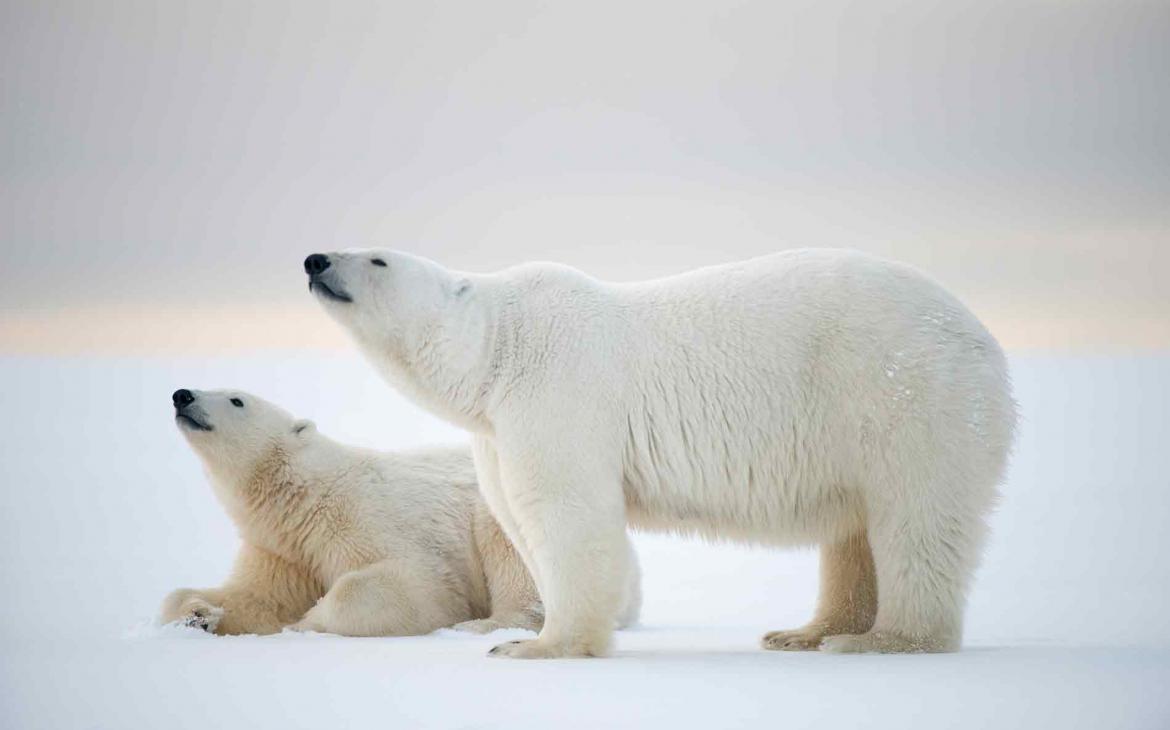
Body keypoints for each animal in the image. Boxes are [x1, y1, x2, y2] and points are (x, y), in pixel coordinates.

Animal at [157, 388, 641, 636]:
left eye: (237, 400)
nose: (183, 394)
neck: (305, 498)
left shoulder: (363, 516)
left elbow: (412, 585)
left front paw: (308, 621)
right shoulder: (283, 550)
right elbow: (255, 597)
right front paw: (197, 615)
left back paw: (482, 625)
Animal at [304, 248, 1015, 659]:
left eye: (378, 260)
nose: (313, 259)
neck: (503, 348)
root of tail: (983, 336)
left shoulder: (558, 391)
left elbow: (566, 512)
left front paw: (539, 647)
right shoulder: (497, 430)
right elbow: (519, 519)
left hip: (906, 397)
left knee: (915, 518)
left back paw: (888, 640)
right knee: (854, 530)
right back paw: (804, 632)